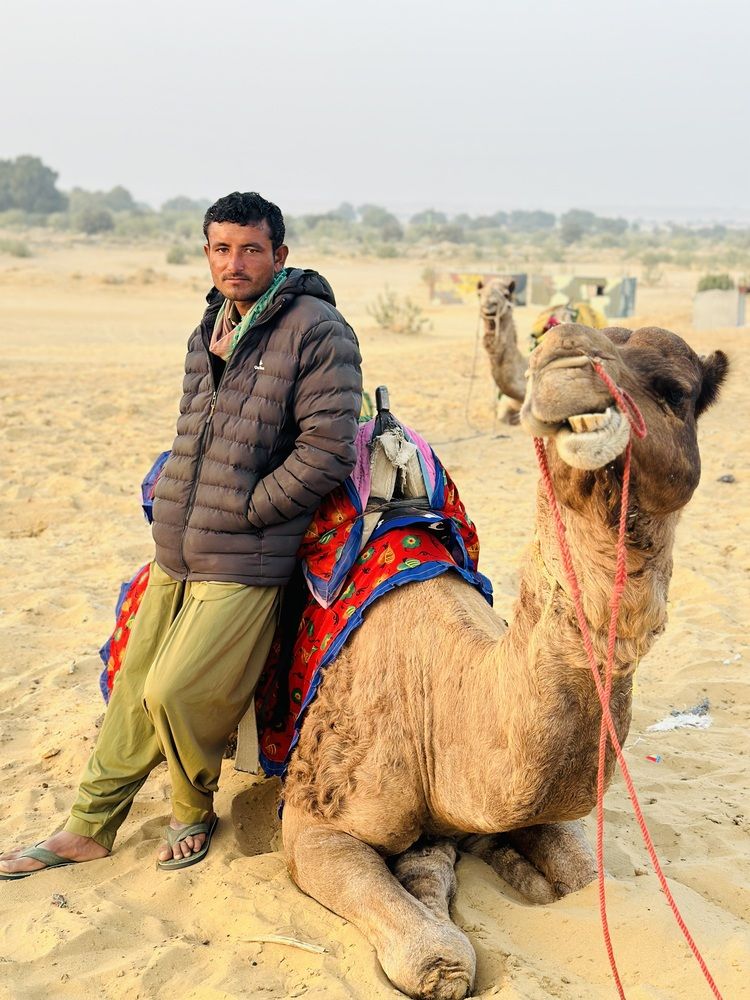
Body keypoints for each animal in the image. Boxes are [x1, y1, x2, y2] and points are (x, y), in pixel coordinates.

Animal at [280, 323, 728, 1000]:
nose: (567, 360)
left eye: (676, 389)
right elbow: (439, 957)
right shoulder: (314, 824)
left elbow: (601, 885)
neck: (440, 701)